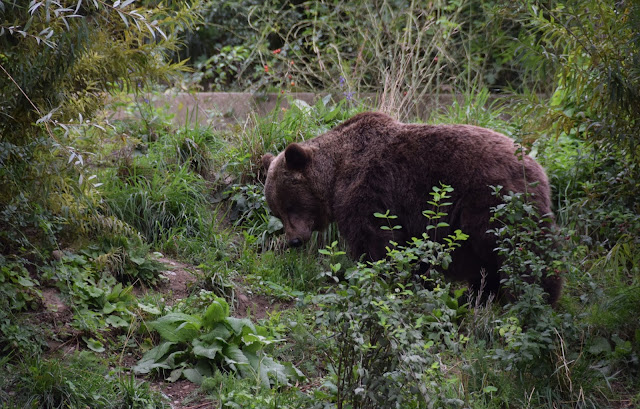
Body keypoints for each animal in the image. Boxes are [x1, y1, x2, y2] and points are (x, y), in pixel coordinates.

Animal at [260, 111, 560, 302]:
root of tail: (537, 168)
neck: (335, 175)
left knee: (518, 253)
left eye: (290, 205)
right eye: (277, 211)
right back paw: (479, 297)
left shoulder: (370, 192)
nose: (294, 240)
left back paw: (536, 299)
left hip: (492, 203)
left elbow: (377, 242)